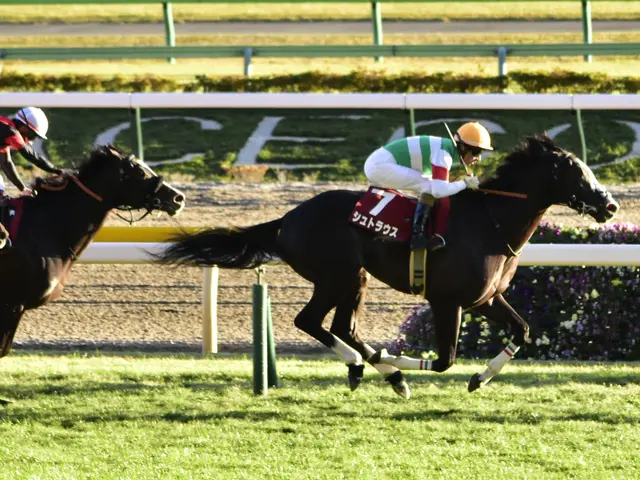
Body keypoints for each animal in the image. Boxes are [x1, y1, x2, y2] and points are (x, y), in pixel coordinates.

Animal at [157, 135, 619, 398]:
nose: (611, 205)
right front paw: (400, 363)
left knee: (341, 327)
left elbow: (521, 331)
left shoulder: (486, 300)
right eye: (577, 173)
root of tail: (287, 218)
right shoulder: (447, 301)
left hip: (354, 279)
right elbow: (444, 360)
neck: (491, 221)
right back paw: (380, 369)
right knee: (312, 322)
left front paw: (480, 378)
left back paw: (372, 369)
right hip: (336, 275)